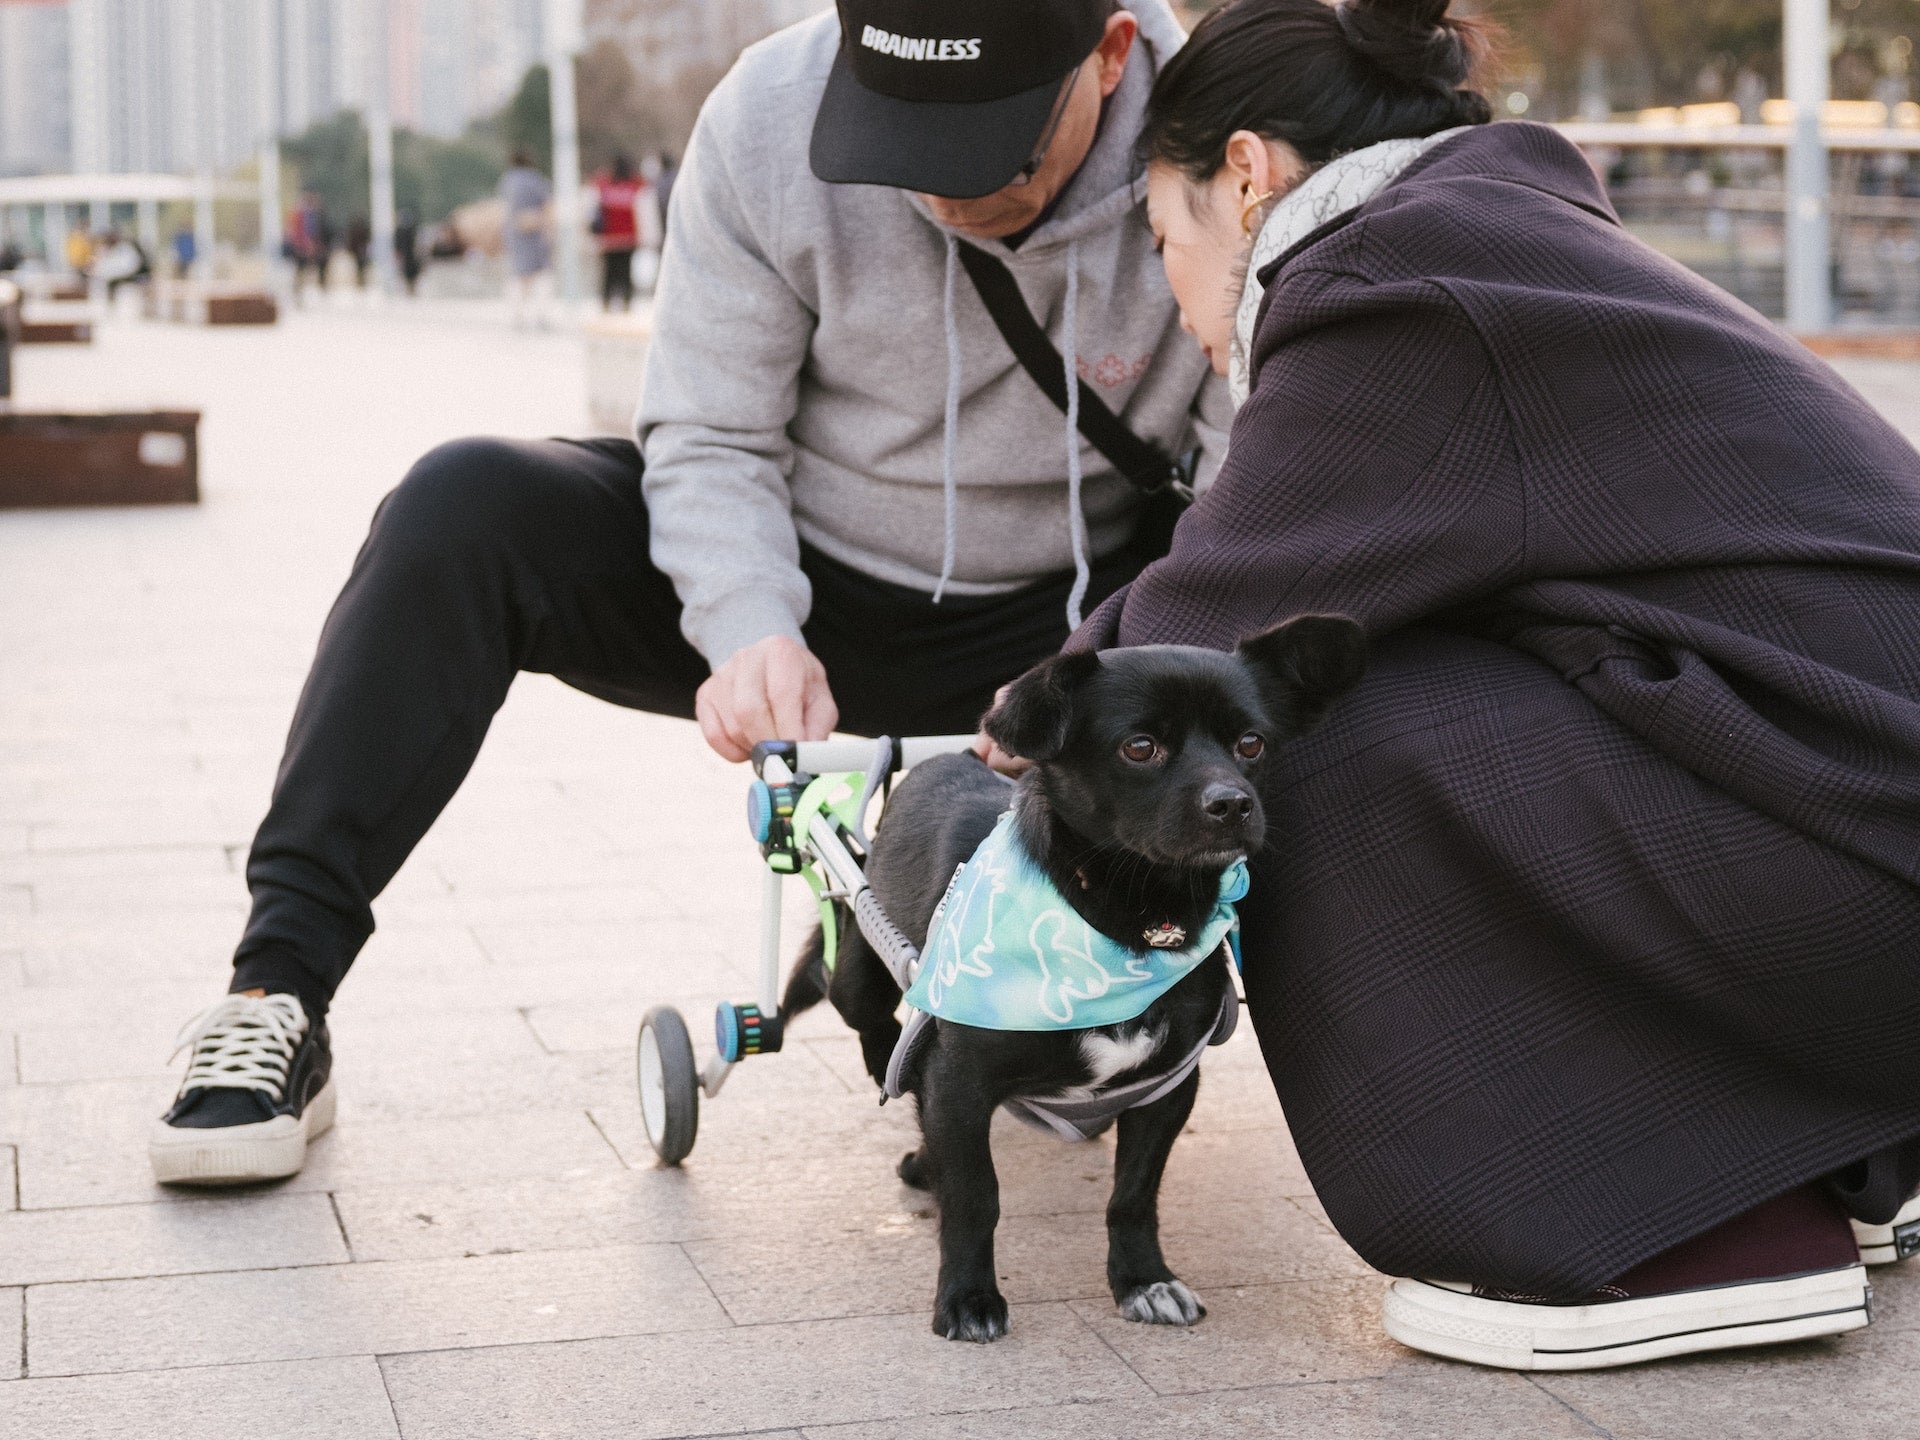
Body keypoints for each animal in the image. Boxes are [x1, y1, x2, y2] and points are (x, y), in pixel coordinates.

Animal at [779, 614, 1367, 1351]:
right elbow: (976, 1196)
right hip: (860, 972)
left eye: (1251, 743)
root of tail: (950, 757)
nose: (1233, 803)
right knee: (870, 1024)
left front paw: (1143, 1281)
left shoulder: (1166, 1090)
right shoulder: (960, 1086)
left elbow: (1133, 1196)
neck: (1126, 921)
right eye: (1140, 747)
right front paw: (968, 1298)